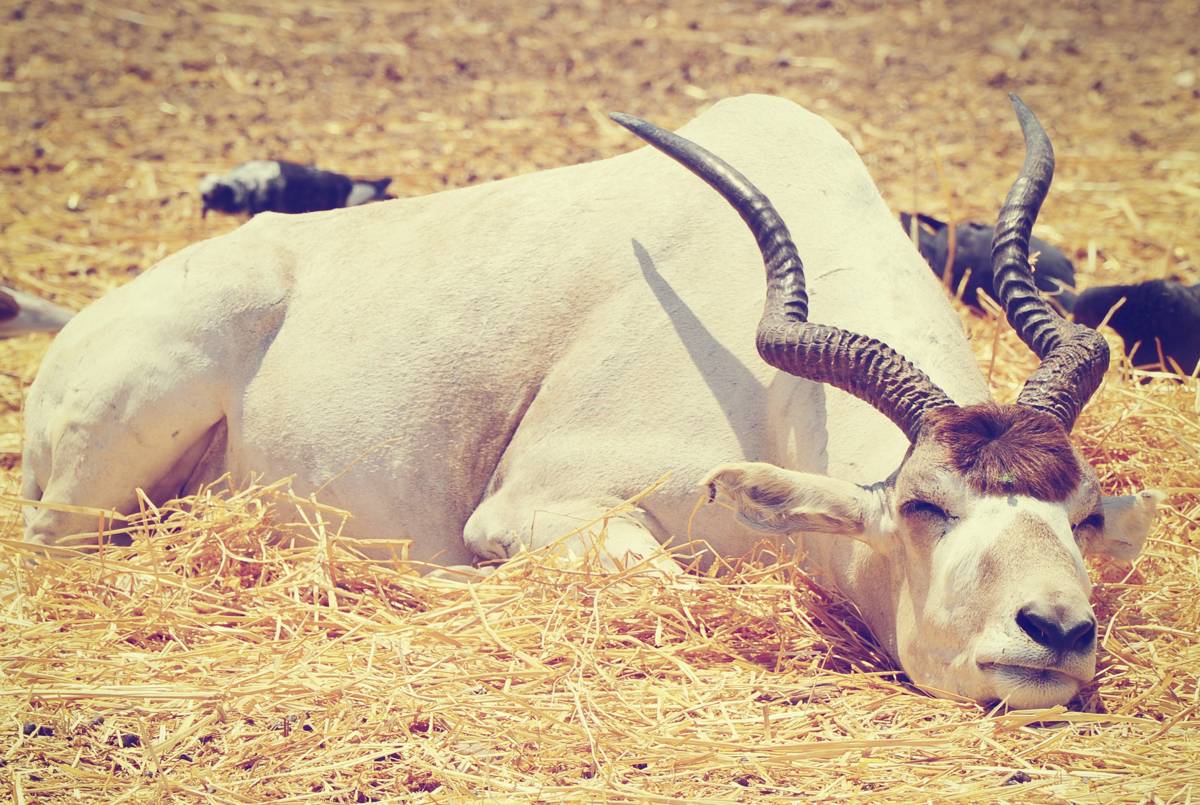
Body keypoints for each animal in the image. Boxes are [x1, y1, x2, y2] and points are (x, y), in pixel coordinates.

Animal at [20, 94, 1158, 707]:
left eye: (1081, 513)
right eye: (927, 506)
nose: (1056, 631)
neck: (772, 394)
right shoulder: (536, 505)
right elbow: (664, 584)